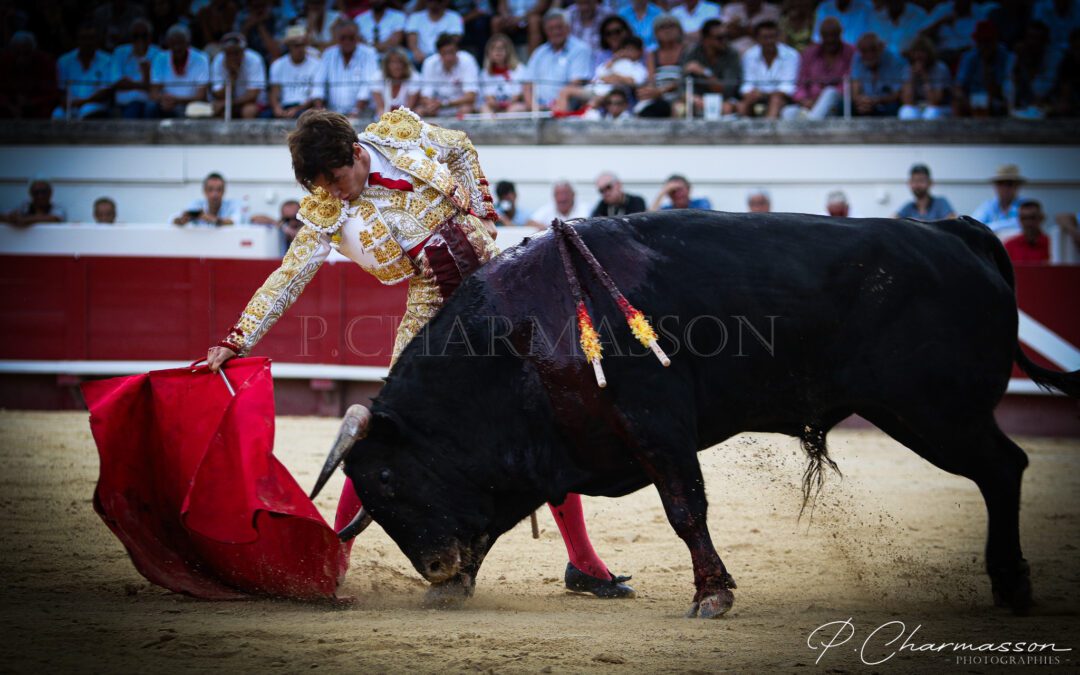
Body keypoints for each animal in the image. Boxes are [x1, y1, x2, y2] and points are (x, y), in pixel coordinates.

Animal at [332, 210, 1075, 617]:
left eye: (389, 480)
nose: (435, 569)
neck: (521, 338)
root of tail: (956, 233)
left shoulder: (656, 424)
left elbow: (685, 508)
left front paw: (711, 595)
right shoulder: (564, 444)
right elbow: (515, 512)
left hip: (934, 410)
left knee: (1004, 467)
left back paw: (1012, 584)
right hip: (925, 413)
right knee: (1002, 468)